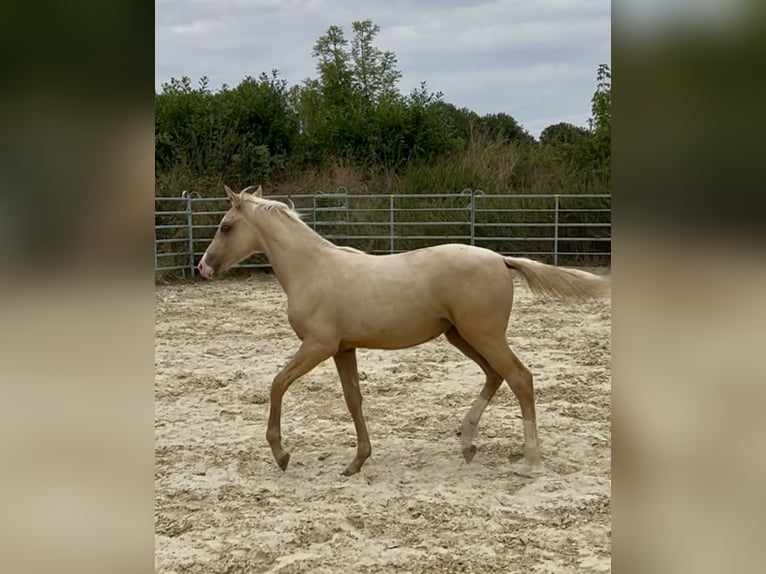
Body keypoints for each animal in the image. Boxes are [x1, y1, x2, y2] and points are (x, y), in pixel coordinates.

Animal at [197, 185, 610, 477]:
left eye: (225, 226)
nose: (203, 267)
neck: (312, 270)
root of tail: (500, 259)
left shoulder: (318, 345)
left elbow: (277, 384)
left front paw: (281, 454)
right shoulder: (343, 348)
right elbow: (353, 399)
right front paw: (357, 462)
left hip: (485, 335)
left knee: (520, 378)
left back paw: (531, 463)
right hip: (461, 335)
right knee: (495, 375)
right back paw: (468, 442)